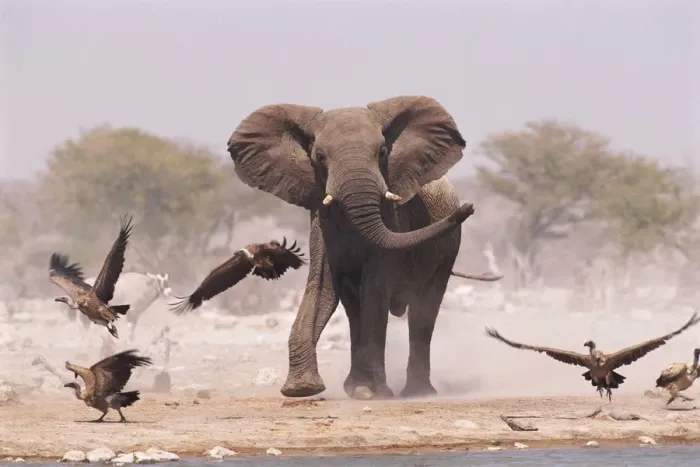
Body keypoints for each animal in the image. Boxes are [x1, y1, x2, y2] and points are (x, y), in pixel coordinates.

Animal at [227, 95, 498, 400]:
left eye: (382, 152)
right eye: (319, 157)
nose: (470, 208)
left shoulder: (393, 219)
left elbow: (375, 288)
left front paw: (374, 393)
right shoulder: (320, 221)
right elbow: (321, 287)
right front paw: (302, 389)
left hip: (447, 251)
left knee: (423, 310)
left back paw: (417, 392)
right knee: (354, 307)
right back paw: (356, 387)